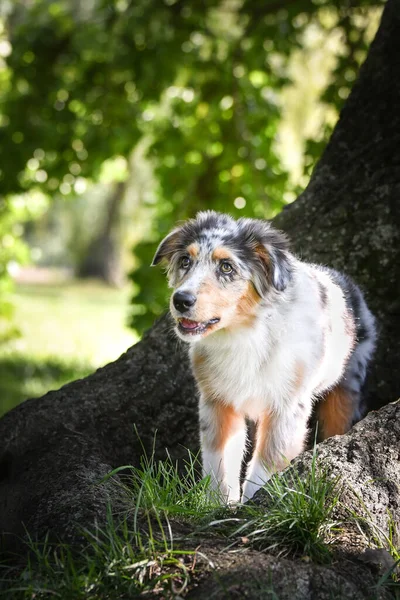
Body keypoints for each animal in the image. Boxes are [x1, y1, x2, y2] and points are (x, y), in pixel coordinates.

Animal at [152, 211, 376, 502]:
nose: (181, 300)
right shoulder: (216, 401)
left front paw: (253, 503)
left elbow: (266, 462)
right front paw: (219, 506)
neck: (244, 334)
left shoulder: (286, 405)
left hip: (347, 384)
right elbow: (219, 462)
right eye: (185, 261)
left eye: (226, 267)